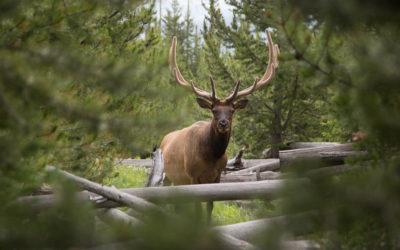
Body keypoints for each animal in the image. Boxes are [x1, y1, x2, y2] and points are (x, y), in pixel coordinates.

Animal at [159, 28, 278, 221]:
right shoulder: (192, 176)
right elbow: (198, 209)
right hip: (166, 175)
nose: (223, 123)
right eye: (214, 110)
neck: (211, 157)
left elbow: (210, 206)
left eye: (232, 110)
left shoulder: (218, 176)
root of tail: (164, 138)